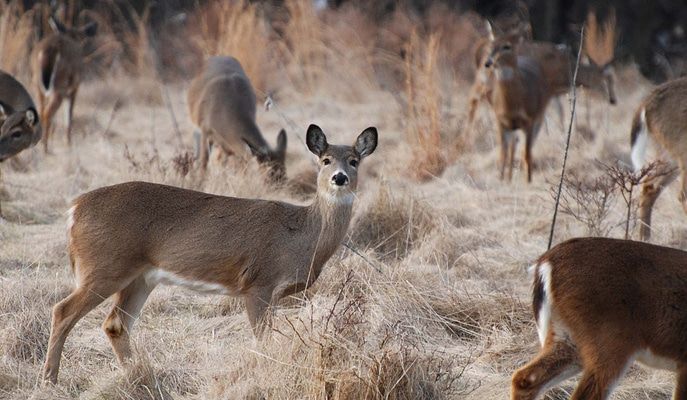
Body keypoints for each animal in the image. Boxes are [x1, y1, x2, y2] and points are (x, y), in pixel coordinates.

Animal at [31, 16, 97, 153]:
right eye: (81, 39)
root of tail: (50, 49)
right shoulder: (74, 88)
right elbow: (69, 117)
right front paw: (69, 145)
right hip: (59, 86)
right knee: (47, 113)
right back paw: (45, 149)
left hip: (37, 85)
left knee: (40, 112)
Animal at [41, 123, 382, 382]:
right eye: (325, 160)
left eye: (354, 160)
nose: (340, 177)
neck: (302, 236)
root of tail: (74, 210)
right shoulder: (258, 282)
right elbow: (263, 341)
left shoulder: (274, 293)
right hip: (104, 266)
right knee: (62, 311)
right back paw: (50, 379)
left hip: (140, 278)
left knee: (115, 324)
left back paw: (136, 375)